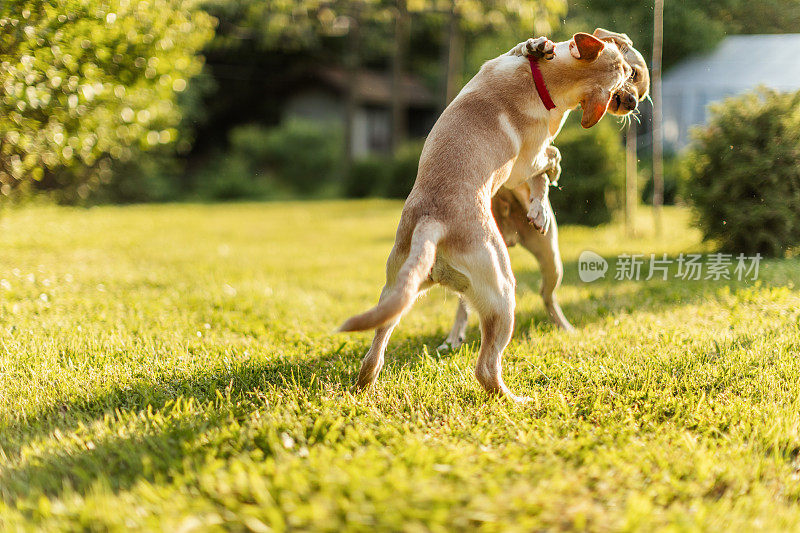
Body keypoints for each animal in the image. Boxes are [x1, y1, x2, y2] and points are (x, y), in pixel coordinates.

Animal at [338, 33, 632, 400]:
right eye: (621, 68)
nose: (632, 98)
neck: (543, 83)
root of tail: (433, 223)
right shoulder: (525, 162)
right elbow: (548, 156)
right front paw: (552, 173)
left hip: (397, 291)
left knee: (374, 351)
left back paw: (364, 386)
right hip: (505, 293)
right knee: (487, 367)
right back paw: (517, 399)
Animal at [440, 29, 652, 348]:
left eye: (641, 93)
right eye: (634, 74)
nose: (632, 104)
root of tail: (509, 235)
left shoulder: (539, 145)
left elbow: (544, 165)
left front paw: (545, 187)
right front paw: (536, 46)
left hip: (552, 261)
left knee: (546, 295)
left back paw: (563, 325)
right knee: (464, 305)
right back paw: (454, 336)